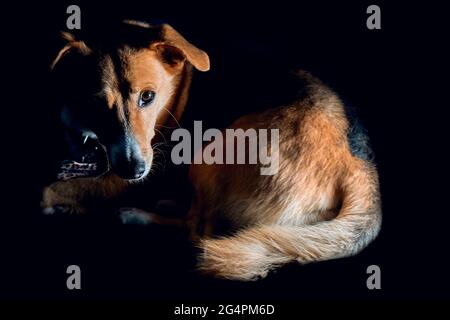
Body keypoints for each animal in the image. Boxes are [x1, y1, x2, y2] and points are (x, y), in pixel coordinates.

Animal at [42, 20, 382, 280]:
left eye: (148, 97)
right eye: (97, 103)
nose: (134, 169)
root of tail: (360, 168)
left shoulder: (132, 175)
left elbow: (54, 190)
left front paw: (59, 202)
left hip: (212, 152)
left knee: (198, 231)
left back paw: (138, 216)